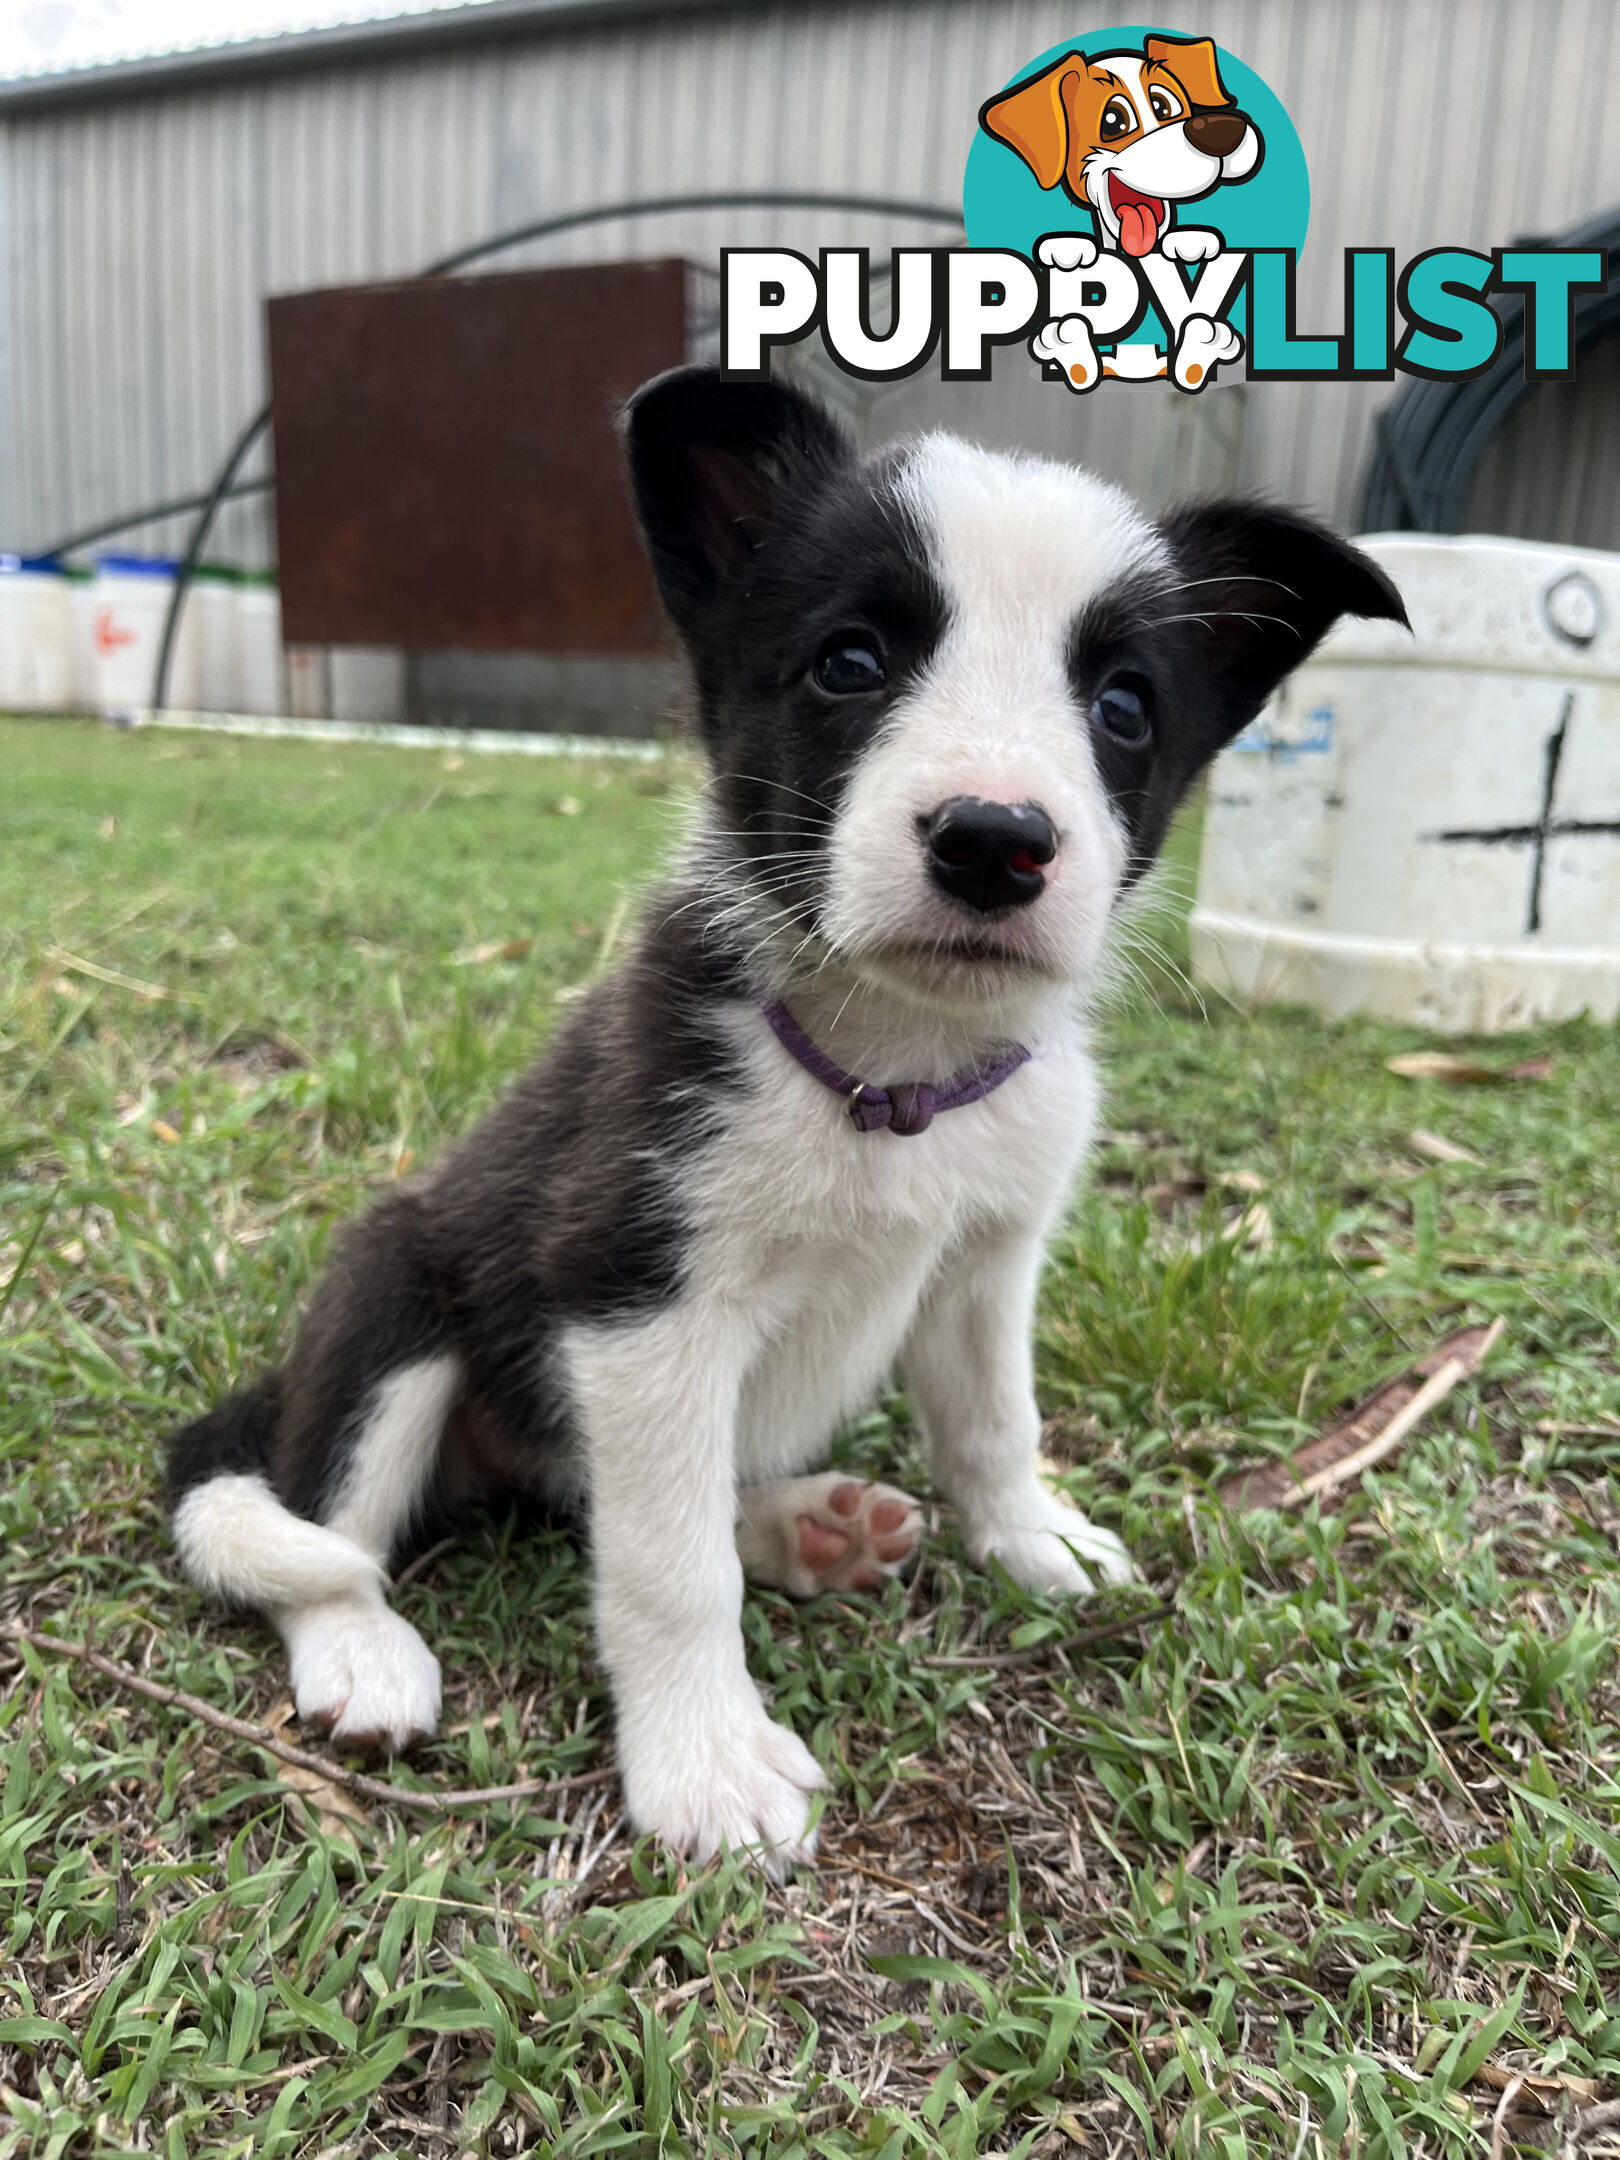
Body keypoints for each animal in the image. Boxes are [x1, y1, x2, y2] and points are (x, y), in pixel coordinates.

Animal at [168, 358, 1408, 1874]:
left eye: (1123, 705)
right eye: (851, 663)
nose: (994, 840)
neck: (897, 1071)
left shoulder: (988, 1265)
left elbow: (993, 1423)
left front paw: (1033, 1540)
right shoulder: (636, 1299)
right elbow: (666, 1565)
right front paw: (704, 1762)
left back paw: (803, 1528)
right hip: (392, 1300)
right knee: (324, 1525)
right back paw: (364, 1651)